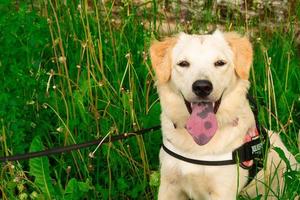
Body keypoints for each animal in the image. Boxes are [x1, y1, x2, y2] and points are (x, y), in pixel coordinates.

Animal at [149, 30, 298, 200]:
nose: (202, 87)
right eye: (183, 63)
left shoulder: (222, 191)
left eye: (220, 63)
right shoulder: (169, 185)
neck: (199, 145)